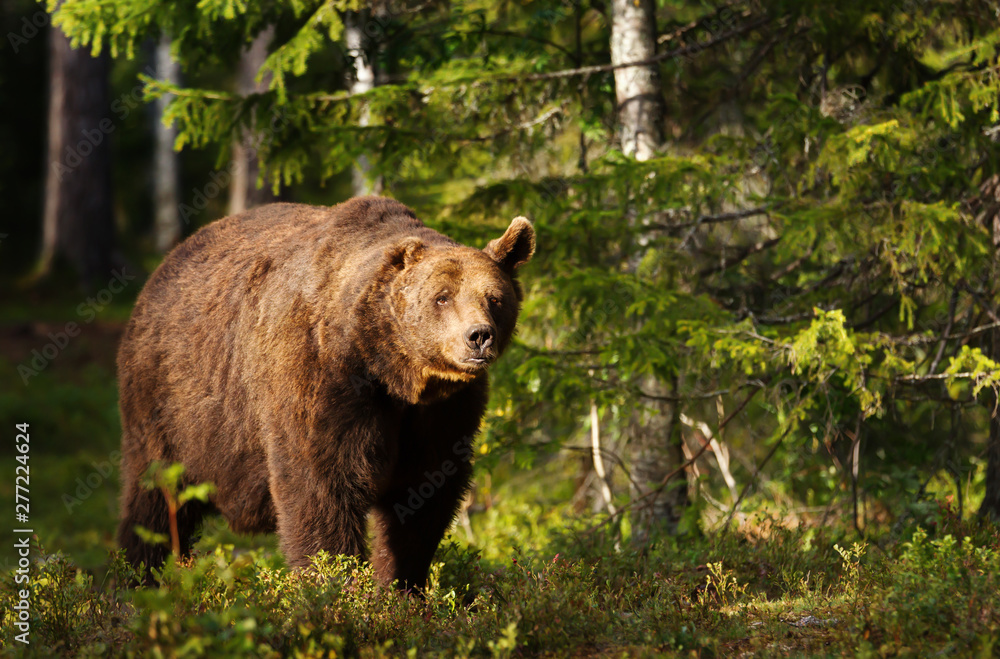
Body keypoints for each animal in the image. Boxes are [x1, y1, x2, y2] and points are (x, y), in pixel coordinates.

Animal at [114, 196, 536, 588]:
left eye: (494, 298)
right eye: (442, 297)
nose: (478, 336)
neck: (393, 371)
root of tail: (165, 265)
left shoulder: (443, 413)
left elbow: (423, 498)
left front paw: (399, 586)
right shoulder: (321, 378)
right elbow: (321, 488)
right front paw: (337, 585)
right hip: (170, 407)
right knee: (152, 502)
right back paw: (135, 580)